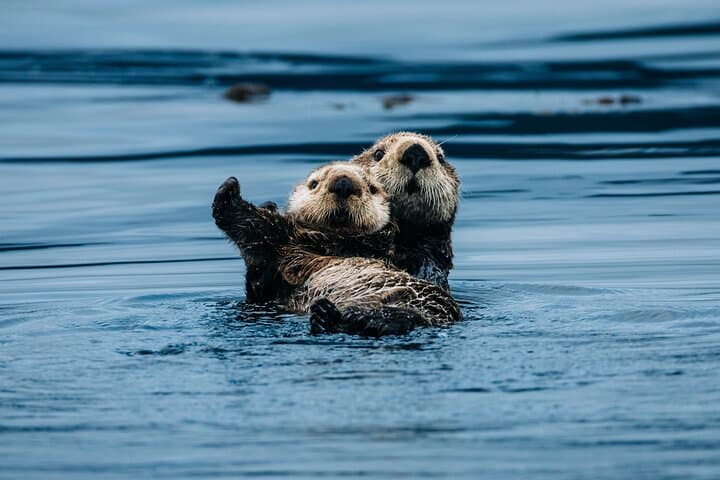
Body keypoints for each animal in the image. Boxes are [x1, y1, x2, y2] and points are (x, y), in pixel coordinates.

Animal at [212, 163, 461, 336]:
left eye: (372, 188)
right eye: (314, 183)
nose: (343, 183)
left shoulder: (289, 241)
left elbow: (258, 225)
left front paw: (229, 190)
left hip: (436, 304)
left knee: (414, 317)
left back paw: (363, 317)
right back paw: (328, 316)